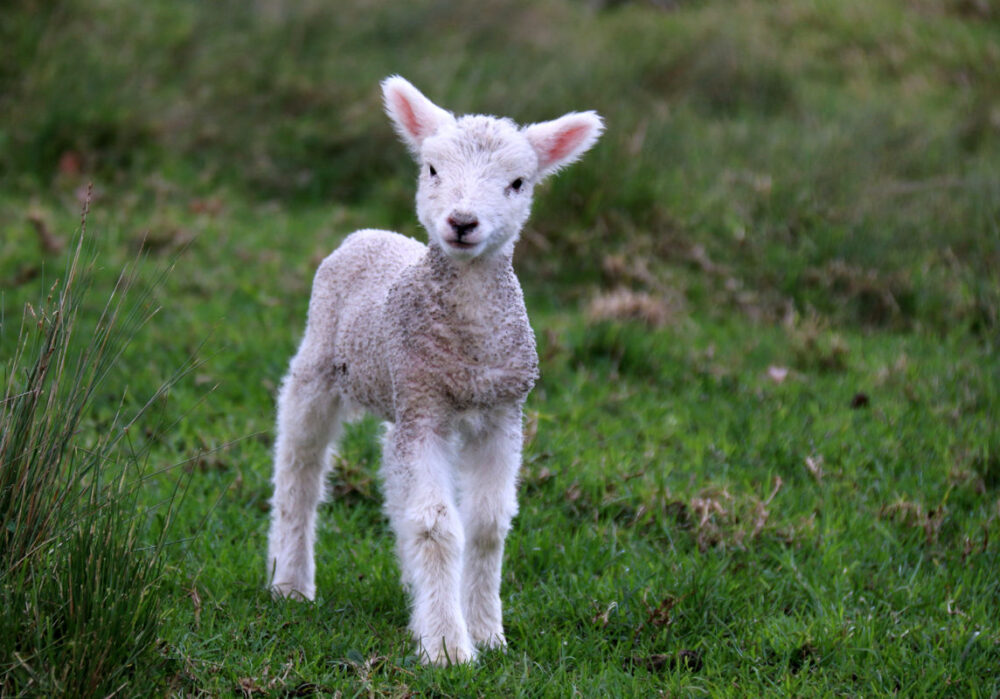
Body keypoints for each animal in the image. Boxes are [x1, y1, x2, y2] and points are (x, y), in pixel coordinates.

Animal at [266, 76, 604, 668]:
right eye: (431, 169)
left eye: (518, 182)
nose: (462, 222)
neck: (469, 348)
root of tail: (368, 234)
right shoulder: (425, 411)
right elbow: (437, 526)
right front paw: (448, 646)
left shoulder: (500, 415)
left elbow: (487, 526)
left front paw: (487, 632)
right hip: (320, 364)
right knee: (299, 468)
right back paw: (291, 582)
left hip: (397, 397)